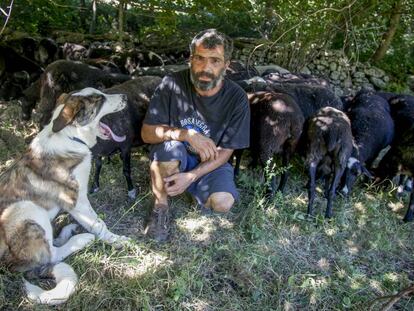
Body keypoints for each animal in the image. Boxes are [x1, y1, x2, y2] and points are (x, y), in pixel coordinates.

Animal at [0, 86, 129, 306]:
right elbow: (98, 224)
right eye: (100, 99)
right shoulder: (77, 201)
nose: (125, 97)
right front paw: (117, 240)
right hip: (26, 209)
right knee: (51, 255)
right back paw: (82, 239)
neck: (70, 136)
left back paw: (68, 231)